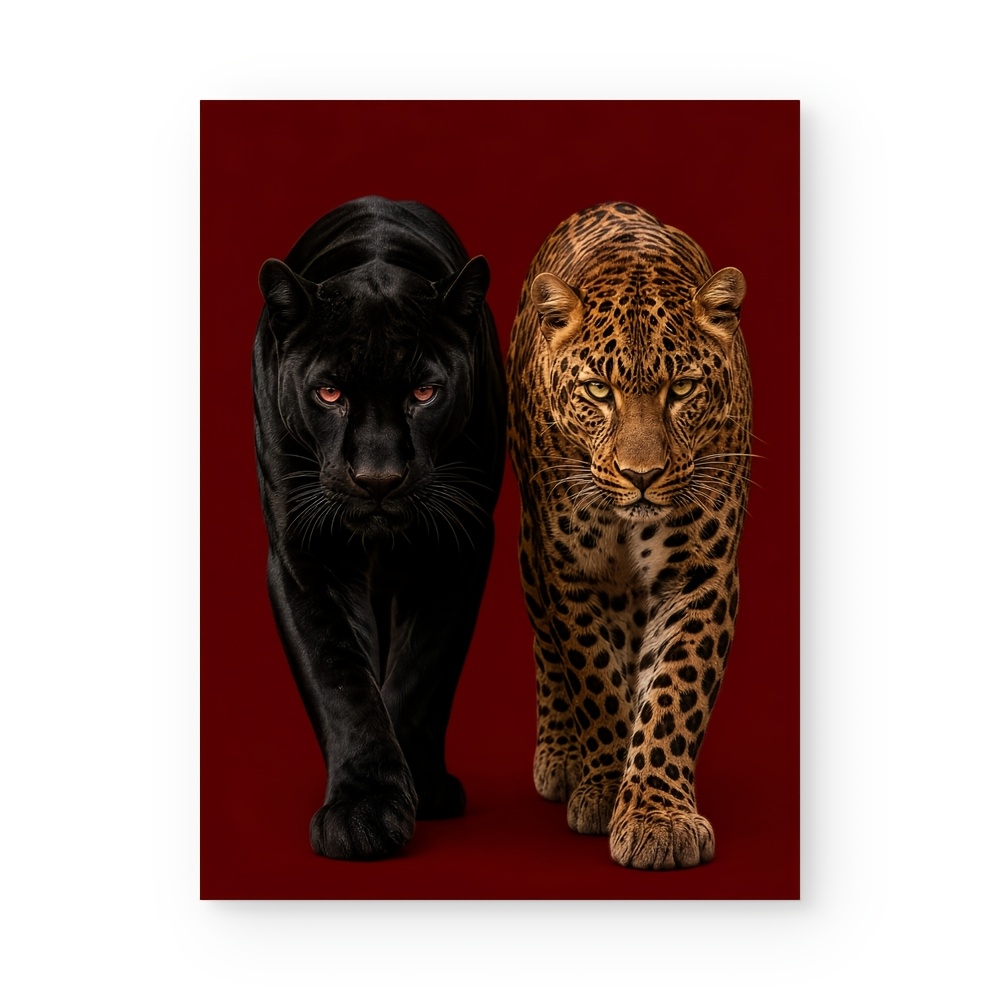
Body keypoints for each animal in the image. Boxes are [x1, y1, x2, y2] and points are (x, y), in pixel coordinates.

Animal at [506, 202, 752, 870]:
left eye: (682, 389)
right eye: (598, 390)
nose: (641, 476)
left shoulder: (700, 573)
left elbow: (673, 690)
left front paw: (654, 815)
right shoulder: (573, 573)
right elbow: (594, 678)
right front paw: (606, 787)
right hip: (531, 552)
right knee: (549, 650)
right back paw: (563, 757)